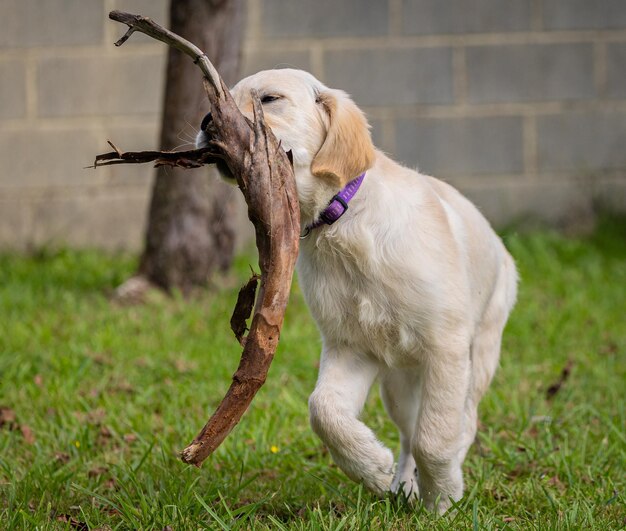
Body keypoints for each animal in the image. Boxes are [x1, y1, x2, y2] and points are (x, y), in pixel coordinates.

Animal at [196, 68, 516, 512]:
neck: (344, 223)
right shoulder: (351, 346)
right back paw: (402, 485)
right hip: (399, 382)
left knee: (459, 423)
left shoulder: (446, 347)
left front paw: (443, 500)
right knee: (407, 433)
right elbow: (324, 410)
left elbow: (435, 438)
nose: (207, 122)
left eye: (270, 99)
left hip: (477, 356)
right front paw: (373, 469)